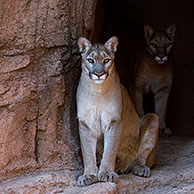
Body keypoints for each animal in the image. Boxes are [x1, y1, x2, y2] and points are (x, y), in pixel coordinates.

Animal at [76, 35, 159, 186]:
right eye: (90, 60)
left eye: (106, 60)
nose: (98, 73)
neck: (97, 91)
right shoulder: (86, 122)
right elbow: (87, 153)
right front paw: (88, 175)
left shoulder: (114, 121)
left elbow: (110, 150)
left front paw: (106, 173)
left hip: (152, 118)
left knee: (141, 158)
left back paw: (140, 168)